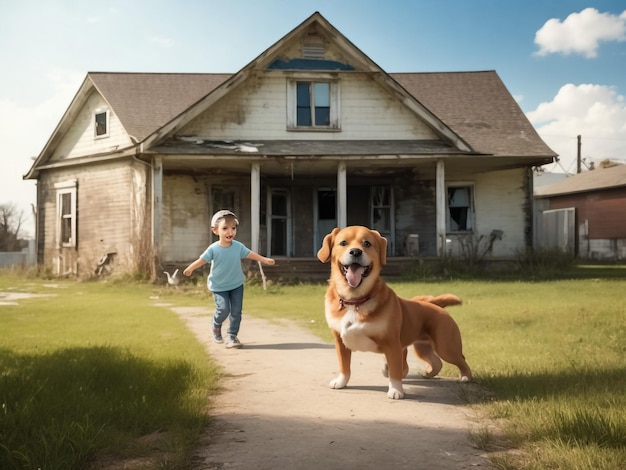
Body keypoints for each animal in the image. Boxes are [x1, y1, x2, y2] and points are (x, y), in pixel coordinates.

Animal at [316, 226, 468, 398]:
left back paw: (465, 377)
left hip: (446, 346)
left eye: (367, 243)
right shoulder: (340, 342)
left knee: (462, 359)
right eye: (343, 242)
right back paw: (428, 373)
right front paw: (341, 382)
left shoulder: (392, 344)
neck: (355, 301)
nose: (355, 252)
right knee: (436, 361)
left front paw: (396, 390)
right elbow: (344, 366)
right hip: (423, 347)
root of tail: (436, 305)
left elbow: (395, 371)